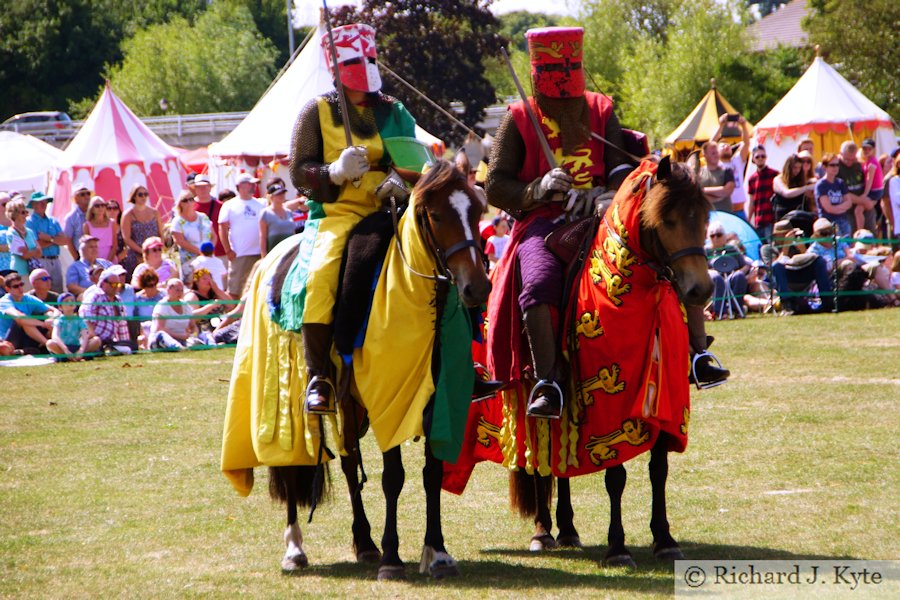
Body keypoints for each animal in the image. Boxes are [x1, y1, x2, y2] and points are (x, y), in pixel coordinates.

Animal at [260, 159, 488, 576]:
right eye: (436, 214)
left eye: (478, 211)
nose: (477, 288)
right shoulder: (388, 399)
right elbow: (393, 477)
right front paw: (392, 557)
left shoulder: (435, 402)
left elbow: (432, 475)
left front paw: (437, 551)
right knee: (295, 464)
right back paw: (296, 548)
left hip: (349, 405)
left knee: (350, 464)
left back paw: (364, 543)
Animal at [506, 156, 712, 568]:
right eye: (667, 220)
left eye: (703, 218)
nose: (700, 290)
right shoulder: (612, 409)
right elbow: (615, 476)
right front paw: (618, 547)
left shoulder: (665, 401)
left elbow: (659, 470)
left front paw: (664, 538)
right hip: (533, 387)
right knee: (541, 458)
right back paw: (543, 531)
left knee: (562, 462)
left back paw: (568, 529)